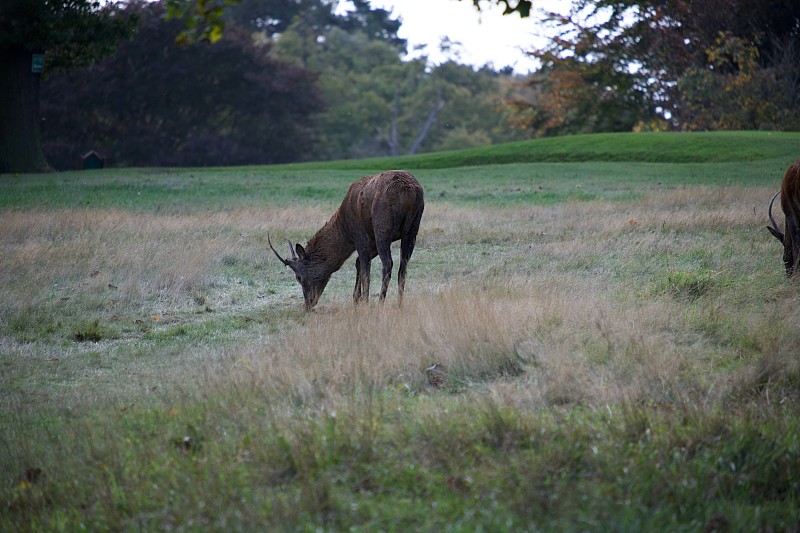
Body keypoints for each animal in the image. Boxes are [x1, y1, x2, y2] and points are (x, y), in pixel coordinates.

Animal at [268, 170, 424, 310]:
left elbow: (365, 268)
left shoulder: (360, 235)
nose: (308, 304)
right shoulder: (371, 241)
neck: (345, 228)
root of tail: (408, 192)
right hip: (413, 227)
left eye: (298, 277)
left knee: (388, 263)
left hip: (383, 226)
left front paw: (364, 302)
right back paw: (400, 303)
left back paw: (380, 303)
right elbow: (358, 263)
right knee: (403, 266)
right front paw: (356, 298)